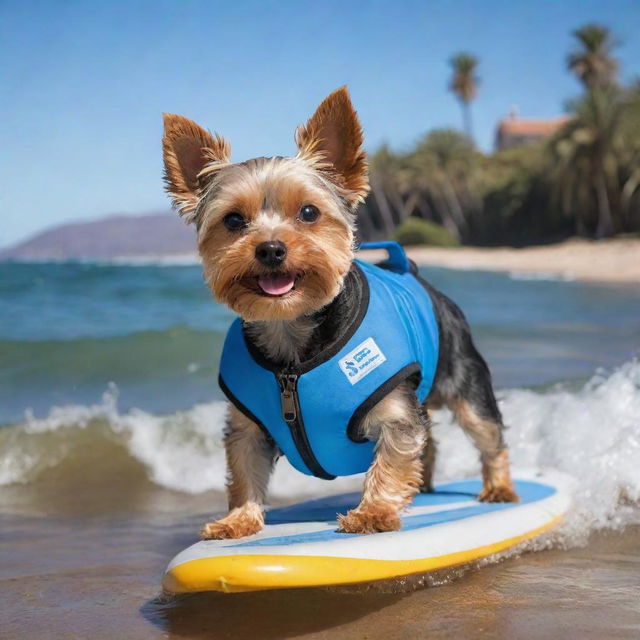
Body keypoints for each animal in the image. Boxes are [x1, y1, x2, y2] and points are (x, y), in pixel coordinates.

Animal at [162, 85, 516, 536]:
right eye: (234, 220)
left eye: (309, 212)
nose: (271, 249)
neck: (291, 331)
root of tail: (417, 275)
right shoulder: (247, 426)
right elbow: (244, 469)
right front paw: (237, 520)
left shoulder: (393, 407)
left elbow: (394, 454)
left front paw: (374, 512)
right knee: (431, 441)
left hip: (464, 374)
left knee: (488, 433)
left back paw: (498, 488)